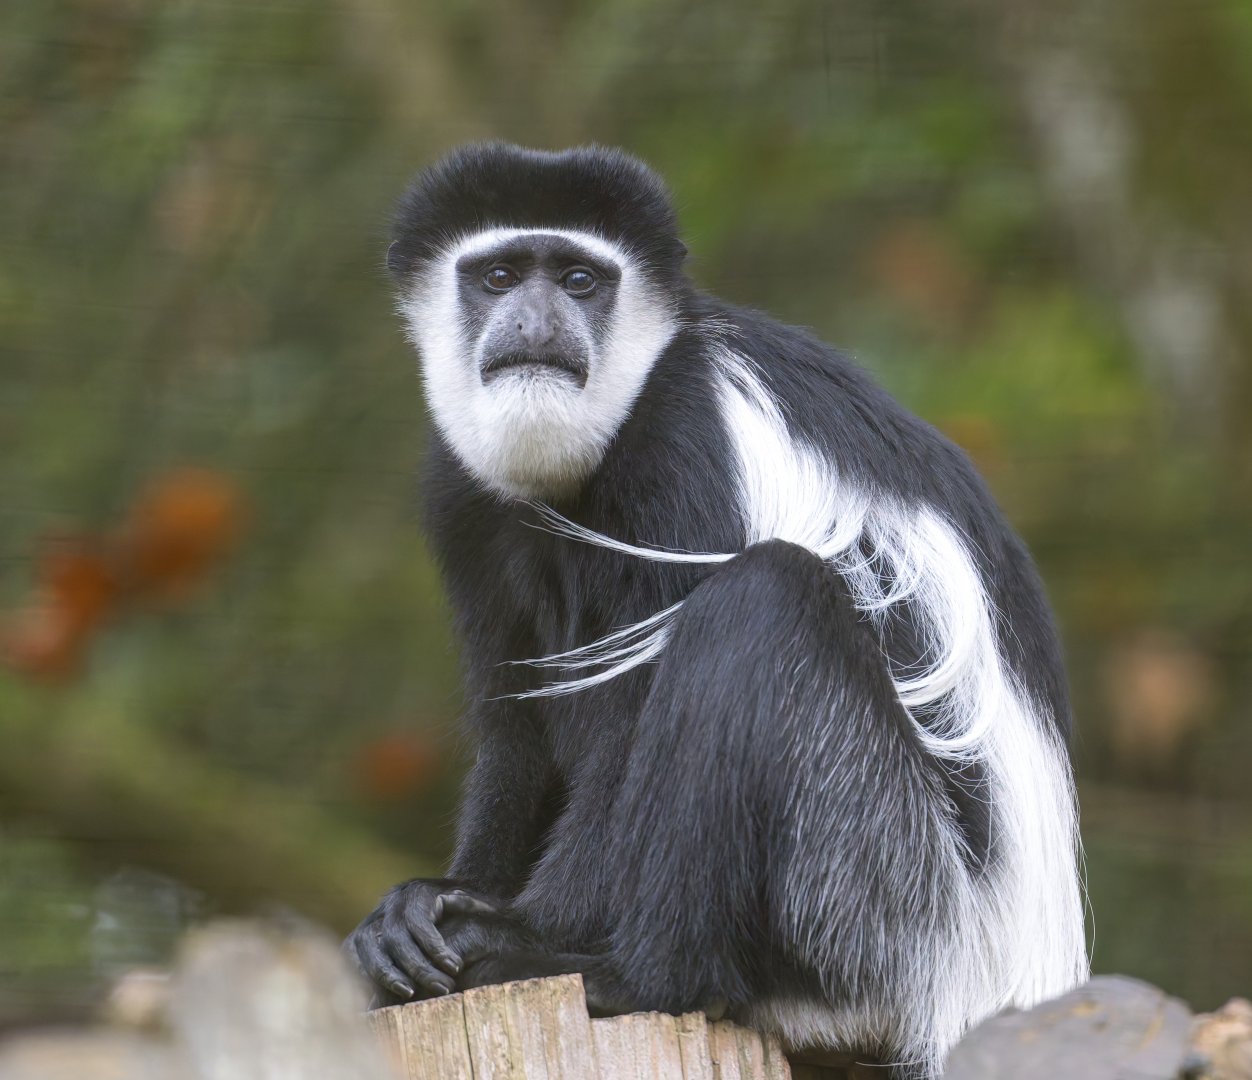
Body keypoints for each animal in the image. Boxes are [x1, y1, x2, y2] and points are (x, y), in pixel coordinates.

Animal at [346, 142, 1087, 1079]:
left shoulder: (686, 439)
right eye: (500, 274)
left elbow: (629, 721)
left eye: (581, 280)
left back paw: (633, 974)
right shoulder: (462, 500)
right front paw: (423, 911)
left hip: (888, 894)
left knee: (760, 603)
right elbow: (517, 723)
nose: (538, 322)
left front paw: (508, 929)